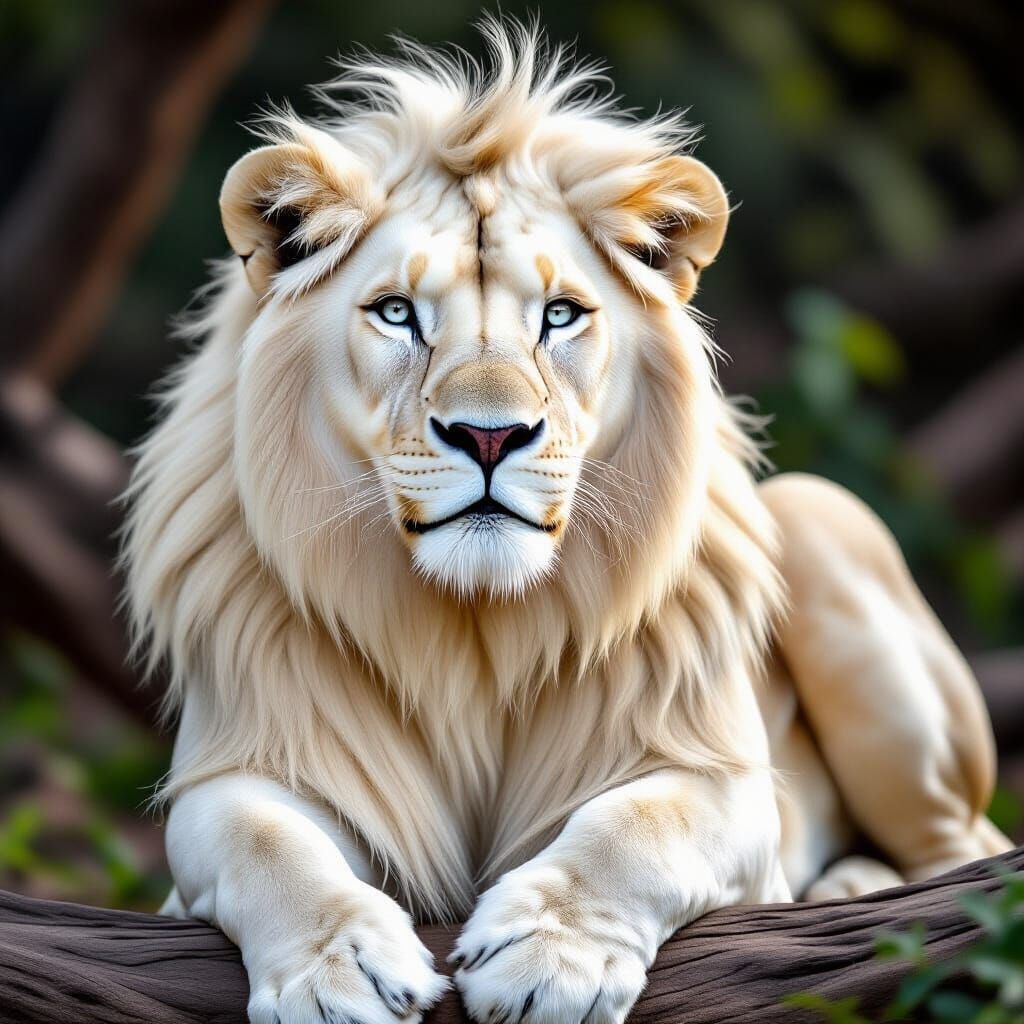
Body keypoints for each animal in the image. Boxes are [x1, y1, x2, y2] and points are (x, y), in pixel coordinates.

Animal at [124, 21, 1010, 1024]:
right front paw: (333, 973)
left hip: (827, 531)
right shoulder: (236, 767)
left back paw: (862, 893)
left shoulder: (722, 778)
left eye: (559, 315)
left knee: (964, 856)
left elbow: (637, 825)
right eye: (397, 313)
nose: (489, 434)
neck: (472, 628)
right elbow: (264, 843)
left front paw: (550, 955)